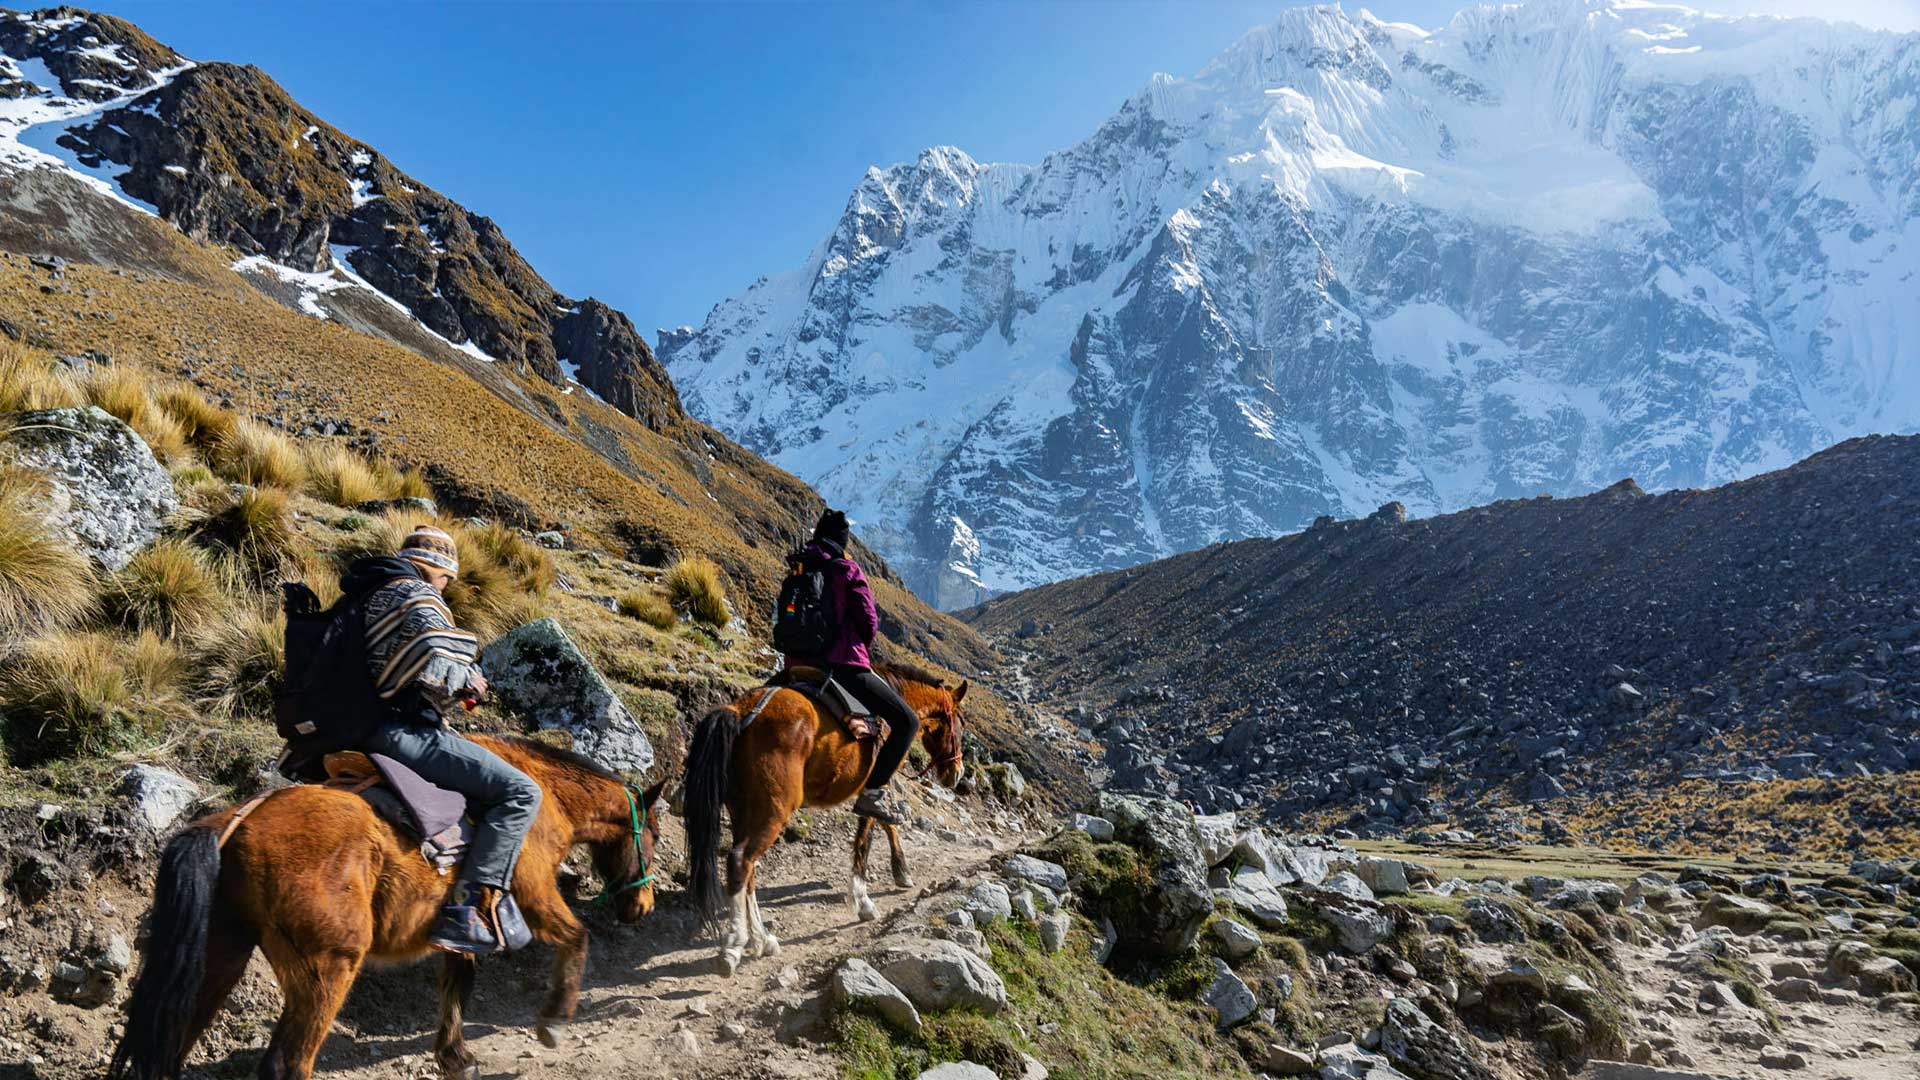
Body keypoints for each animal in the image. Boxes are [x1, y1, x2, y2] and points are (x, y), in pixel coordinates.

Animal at [112, 730, 672, 1076]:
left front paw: (456, 1058)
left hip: (221, 957)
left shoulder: (459, 927)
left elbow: (458, 985)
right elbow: (577, 938)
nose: (642, 907)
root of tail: (236, 820)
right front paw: (554, 1021)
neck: (545, 797)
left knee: (173, 1048)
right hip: (328, 969)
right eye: (657, 835)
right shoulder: (536, 895)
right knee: (288, 1063)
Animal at [683, 661, 967, 972]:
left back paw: (762, 940)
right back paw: (734, 945)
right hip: (772, 811)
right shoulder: (874, 783)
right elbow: (866, 836)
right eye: (961, 727)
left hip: (742, 809)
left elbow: (886, 823)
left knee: (748, 869)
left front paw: (901, 872)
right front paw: (864, 901)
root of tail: (740, 710)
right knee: (740, 861)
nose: (957, 774)